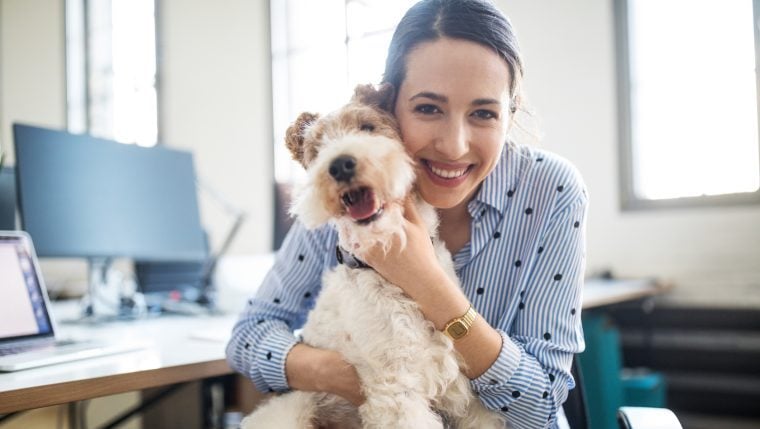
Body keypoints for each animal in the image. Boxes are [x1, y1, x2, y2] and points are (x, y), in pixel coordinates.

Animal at [242, 84, 504, 428]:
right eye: (316, 149)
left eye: (367, 126)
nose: (340, 164)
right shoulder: (397, 391)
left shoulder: (464, 391)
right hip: (289, 412)